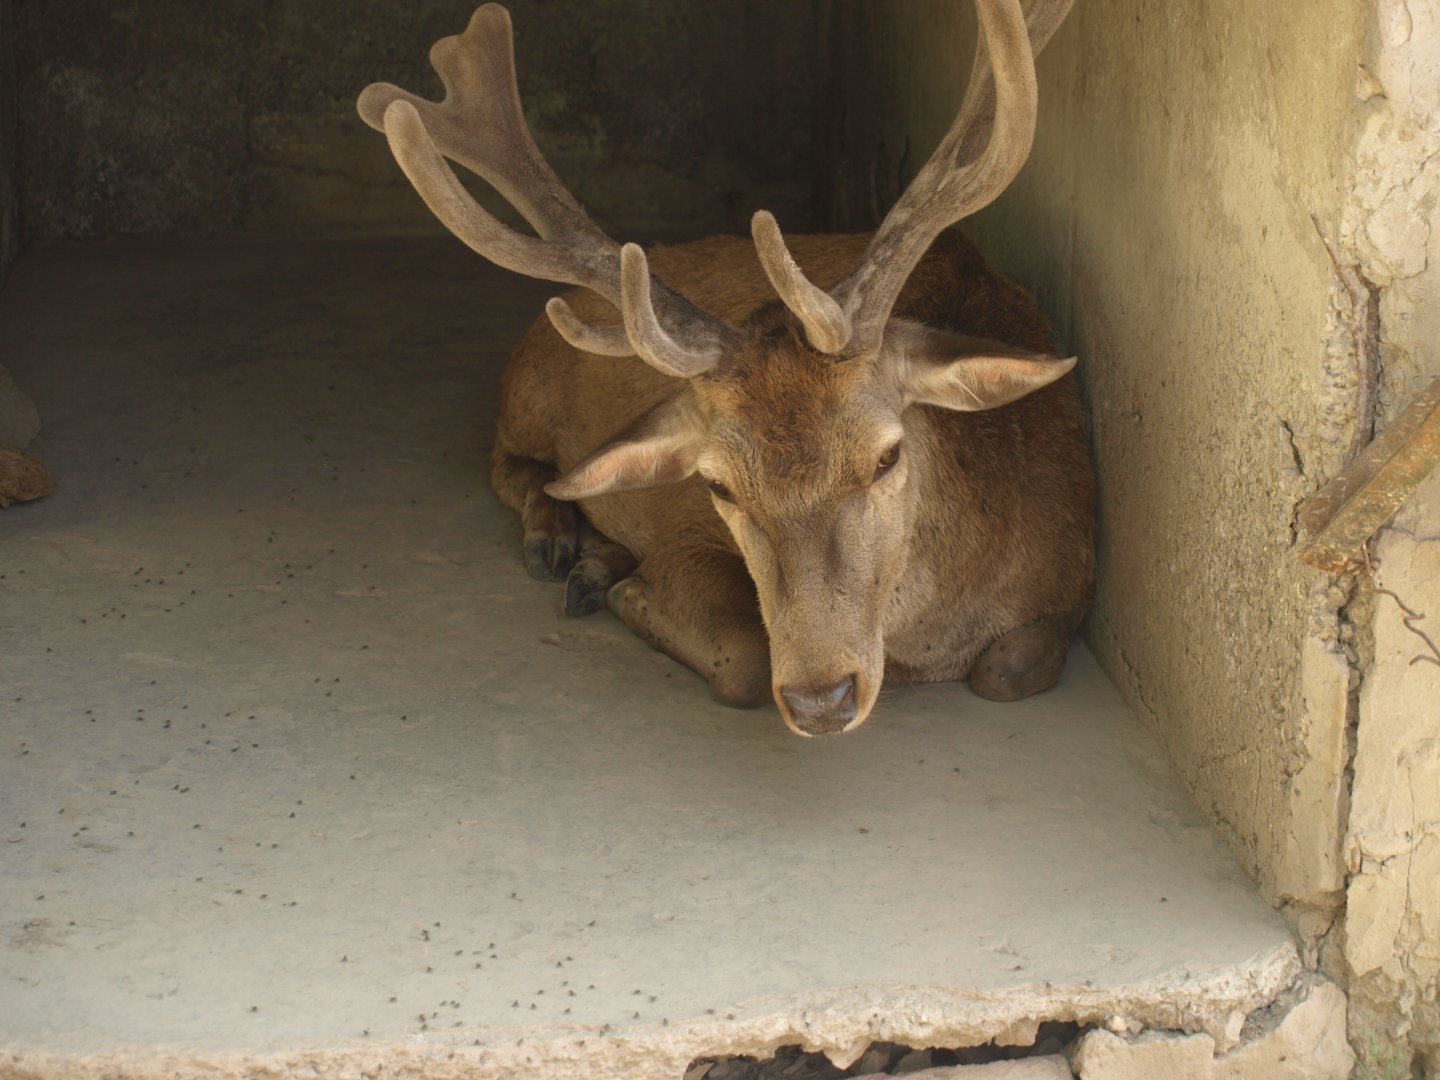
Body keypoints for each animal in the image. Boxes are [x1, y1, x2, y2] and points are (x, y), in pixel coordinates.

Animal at [357, 0, 1094, 737]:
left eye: (887, 456)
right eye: (716, 486)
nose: (821, 698)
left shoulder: (1071, 587)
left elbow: (1008, 669)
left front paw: (617, 581)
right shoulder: (687, 536)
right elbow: (744, 660)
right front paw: (631, 594)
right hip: (526, 393)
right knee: (509, 464)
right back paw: (560, 545)